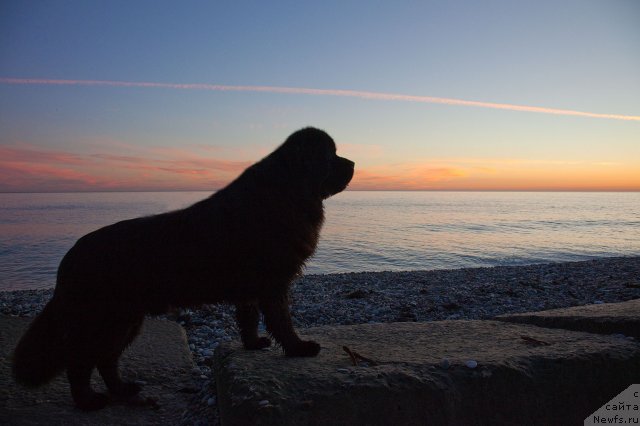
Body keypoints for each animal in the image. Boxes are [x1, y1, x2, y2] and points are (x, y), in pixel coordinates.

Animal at [12, 126, 356, 410]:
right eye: (330, 155)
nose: (353, 164)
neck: (286, 194)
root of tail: (70, 258)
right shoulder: (274, 283)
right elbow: (281, 320)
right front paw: (298, 348)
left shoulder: (250, 289)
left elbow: (248, 318)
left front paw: (252, 344)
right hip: (103, 320)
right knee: (80, 362)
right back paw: (88, 402)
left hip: (125, 320)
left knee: (106, 360)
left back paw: (123, 390)